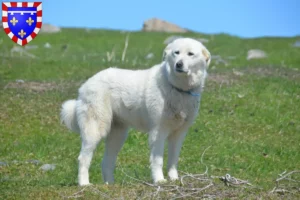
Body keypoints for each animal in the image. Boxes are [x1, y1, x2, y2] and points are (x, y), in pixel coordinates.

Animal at [60, 38, 211, 186]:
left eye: (190, 54)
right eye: (176, 53)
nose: (178, 64)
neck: (177, 88)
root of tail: (86, 84)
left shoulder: (178, 133)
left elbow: (173, 160)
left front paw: (174, 179)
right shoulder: (158, 131)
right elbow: (158, 160)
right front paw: (159, 180)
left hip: (118, 135)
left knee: (107, 161)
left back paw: (110, 184)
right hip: (96, 129)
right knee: (83, 158)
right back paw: (84, 184)